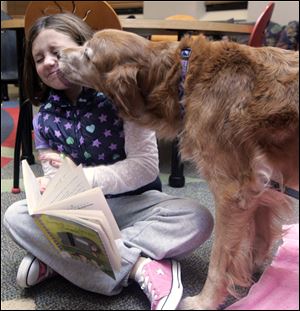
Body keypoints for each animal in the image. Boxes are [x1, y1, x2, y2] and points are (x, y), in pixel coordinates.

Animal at [58, 28, 298, 310]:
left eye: (87, 54)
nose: (59, 53)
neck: (184, 78)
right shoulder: (261, 184)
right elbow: (258, 236)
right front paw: (251, 274)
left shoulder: (232, 193)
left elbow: (219, 261)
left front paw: (205, 302)